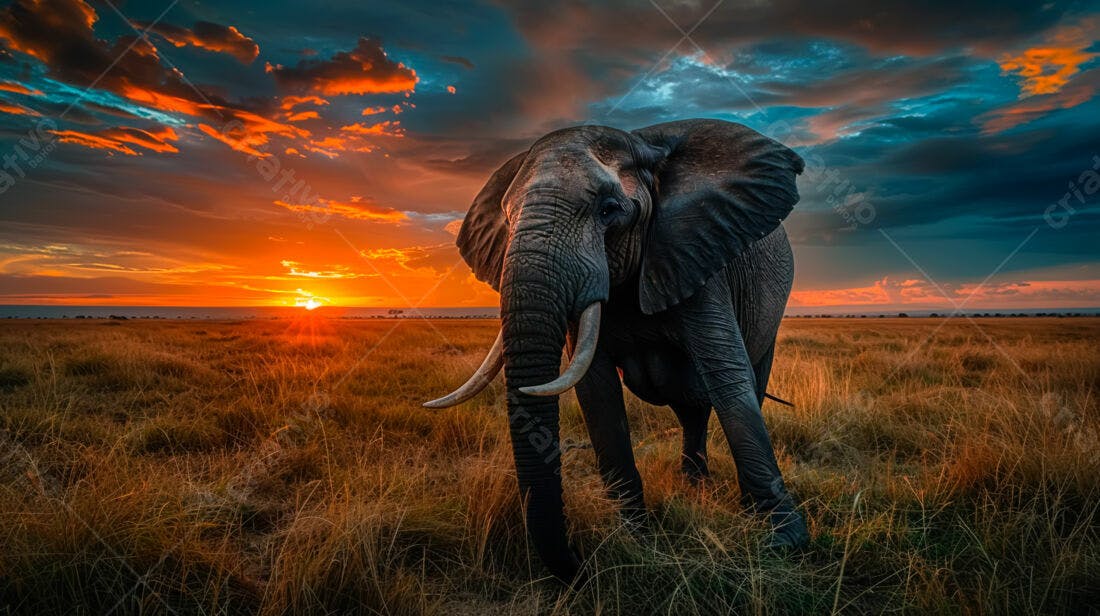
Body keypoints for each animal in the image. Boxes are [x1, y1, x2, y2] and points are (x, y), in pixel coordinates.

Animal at [424, 119, 810, 582]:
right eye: (508, 217)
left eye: (609, 210)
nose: (579, 563)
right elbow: (597, 392)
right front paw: (632, 534)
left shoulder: (695, 251)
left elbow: (728, 377)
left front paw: (782, 543)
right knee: (693, 409)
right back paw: (694, 484)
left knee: (744, 381)